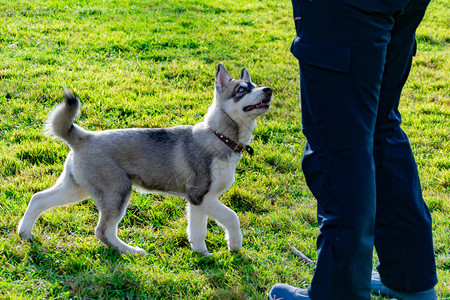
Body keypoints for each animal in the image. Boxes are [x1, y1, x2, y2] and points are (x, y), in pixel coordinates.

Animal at [17, 64, 272, 254]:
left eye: (255, 85)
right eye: (241, 89)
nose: (268, 90)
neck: (220, 136)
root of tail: (84, 136)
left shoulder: (198, 202)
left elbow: (198, 231)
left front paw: (202, 255)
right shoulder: (200, 195)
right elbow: (232, 217)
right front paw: (235, 246)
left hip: (76, 188)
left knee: (38, 199)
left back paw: (25, 233)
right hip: (117, 191)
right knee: (103, 231)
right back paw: (130, 251)